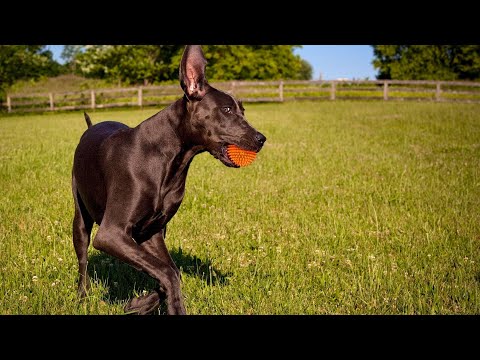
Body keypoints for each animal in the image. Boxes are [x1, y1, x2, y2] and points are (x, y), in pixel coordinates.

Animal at [71, 45, 266, 316]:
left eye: (243, 110)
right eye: (226, 110)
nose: (261, 139)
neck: (168, 157)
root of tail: (90, 127)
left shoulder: (153, 232)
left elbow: (169, 273)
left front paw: (140, 303)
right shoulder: (111, 234)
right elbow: (169, 274)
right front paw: (166, 305)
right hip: (81, 219)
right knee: (83, 261)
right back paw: (82, 297)